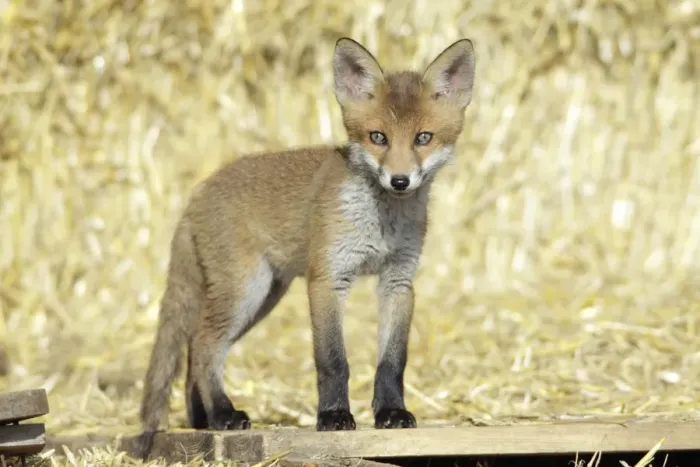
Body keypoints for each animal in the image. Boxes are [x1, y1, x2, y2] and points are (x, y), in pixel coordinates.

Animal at [135, 36, 475, 457]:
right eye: (378, 137)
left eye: (422, 138)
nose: (399, 181)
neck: (381, 224)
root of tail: (196, 194)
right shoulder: (328, 278)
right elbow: (333, 361)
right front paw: (333, 417)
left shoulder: (398, 281)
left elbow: (392, 361)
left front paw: (392, 413)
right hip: (246, 291)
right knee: (203, 344)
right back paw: (224, 413)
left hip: (263, 298)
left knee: (196, 351)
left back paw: (205, 419)